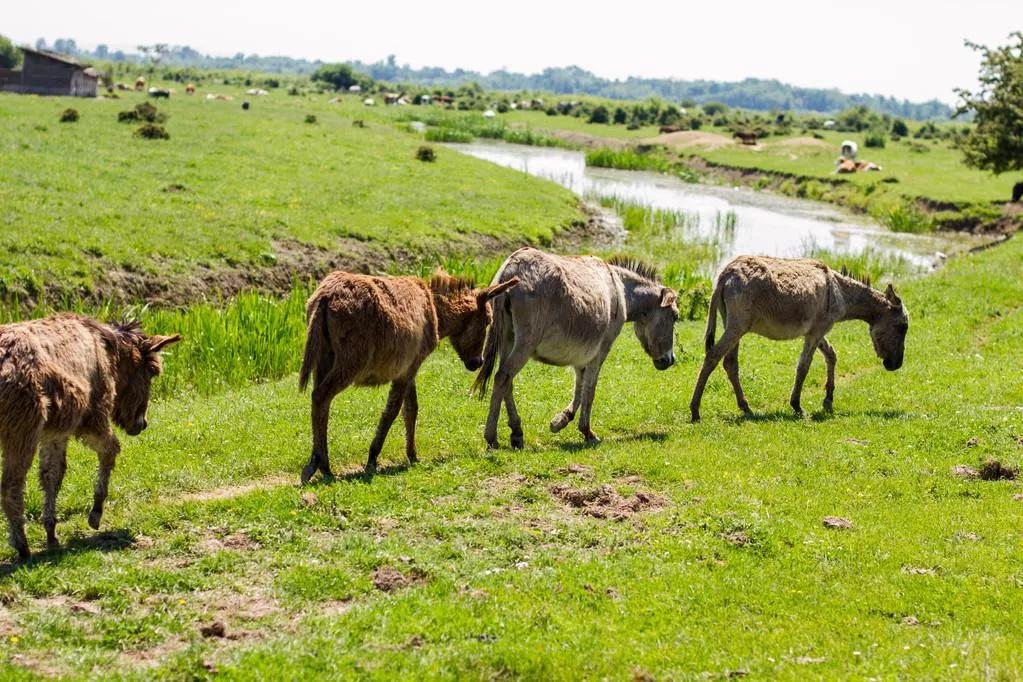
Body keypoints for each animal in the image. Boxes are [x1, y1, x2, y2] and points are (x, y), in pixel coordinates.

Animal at [0, 316, 180, 556]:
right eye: (151, 371)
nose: (142, 424)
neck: (108, 351)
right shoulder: (93, 418)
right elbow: (112, 450)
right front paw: (96, 513)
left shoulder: (55, 434)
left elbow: (52, 475)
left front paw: (51, 533)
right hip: (21, 432)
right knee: (11, 487)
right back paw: (22, 546)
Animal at [298, 267, 519, 480]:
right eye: (488, 321)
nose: (477, 363)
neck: (435, 311)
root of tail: (326, 296)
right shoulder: (408, 369)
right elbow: (393, 411)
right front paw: (373, 457)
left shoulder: (409, 369)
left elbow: (411, 409)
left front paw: (412, 455)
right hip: (351, 361)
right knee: (321, 396)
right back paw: (323, 467)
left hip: (324, 358)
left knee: (320, 403)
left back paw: (317, 462)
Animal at [476, 248, 679, 449]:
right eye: (675, 316)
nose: (670, 361)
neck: (621, 289)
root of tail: (510, 267)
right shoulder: (601, 350)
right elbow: (590, 389)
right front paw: (587, 432)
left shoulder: (582, 355)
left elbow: (579, 387)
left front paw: (560, 421)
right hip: (526, 342)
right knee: (503, 377)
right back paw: (492, 437)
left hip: (507, 338)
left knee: (507, 381)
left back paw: (517, 433)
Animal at [691, 254, 908, 419]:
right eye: (903, 327)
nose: (896, 365)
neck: (840, 292)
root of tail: (725, 275)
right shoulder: (816, 332)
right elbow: (804, 367)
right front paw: (797, 406)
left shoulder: (816, 332)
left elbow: (831, 355)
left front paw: (828, 400)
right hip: (737, 327)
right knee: (712, 357)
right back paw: (695, 411)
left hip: (732, 324)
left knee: (730, 363)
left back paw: (745, 407)